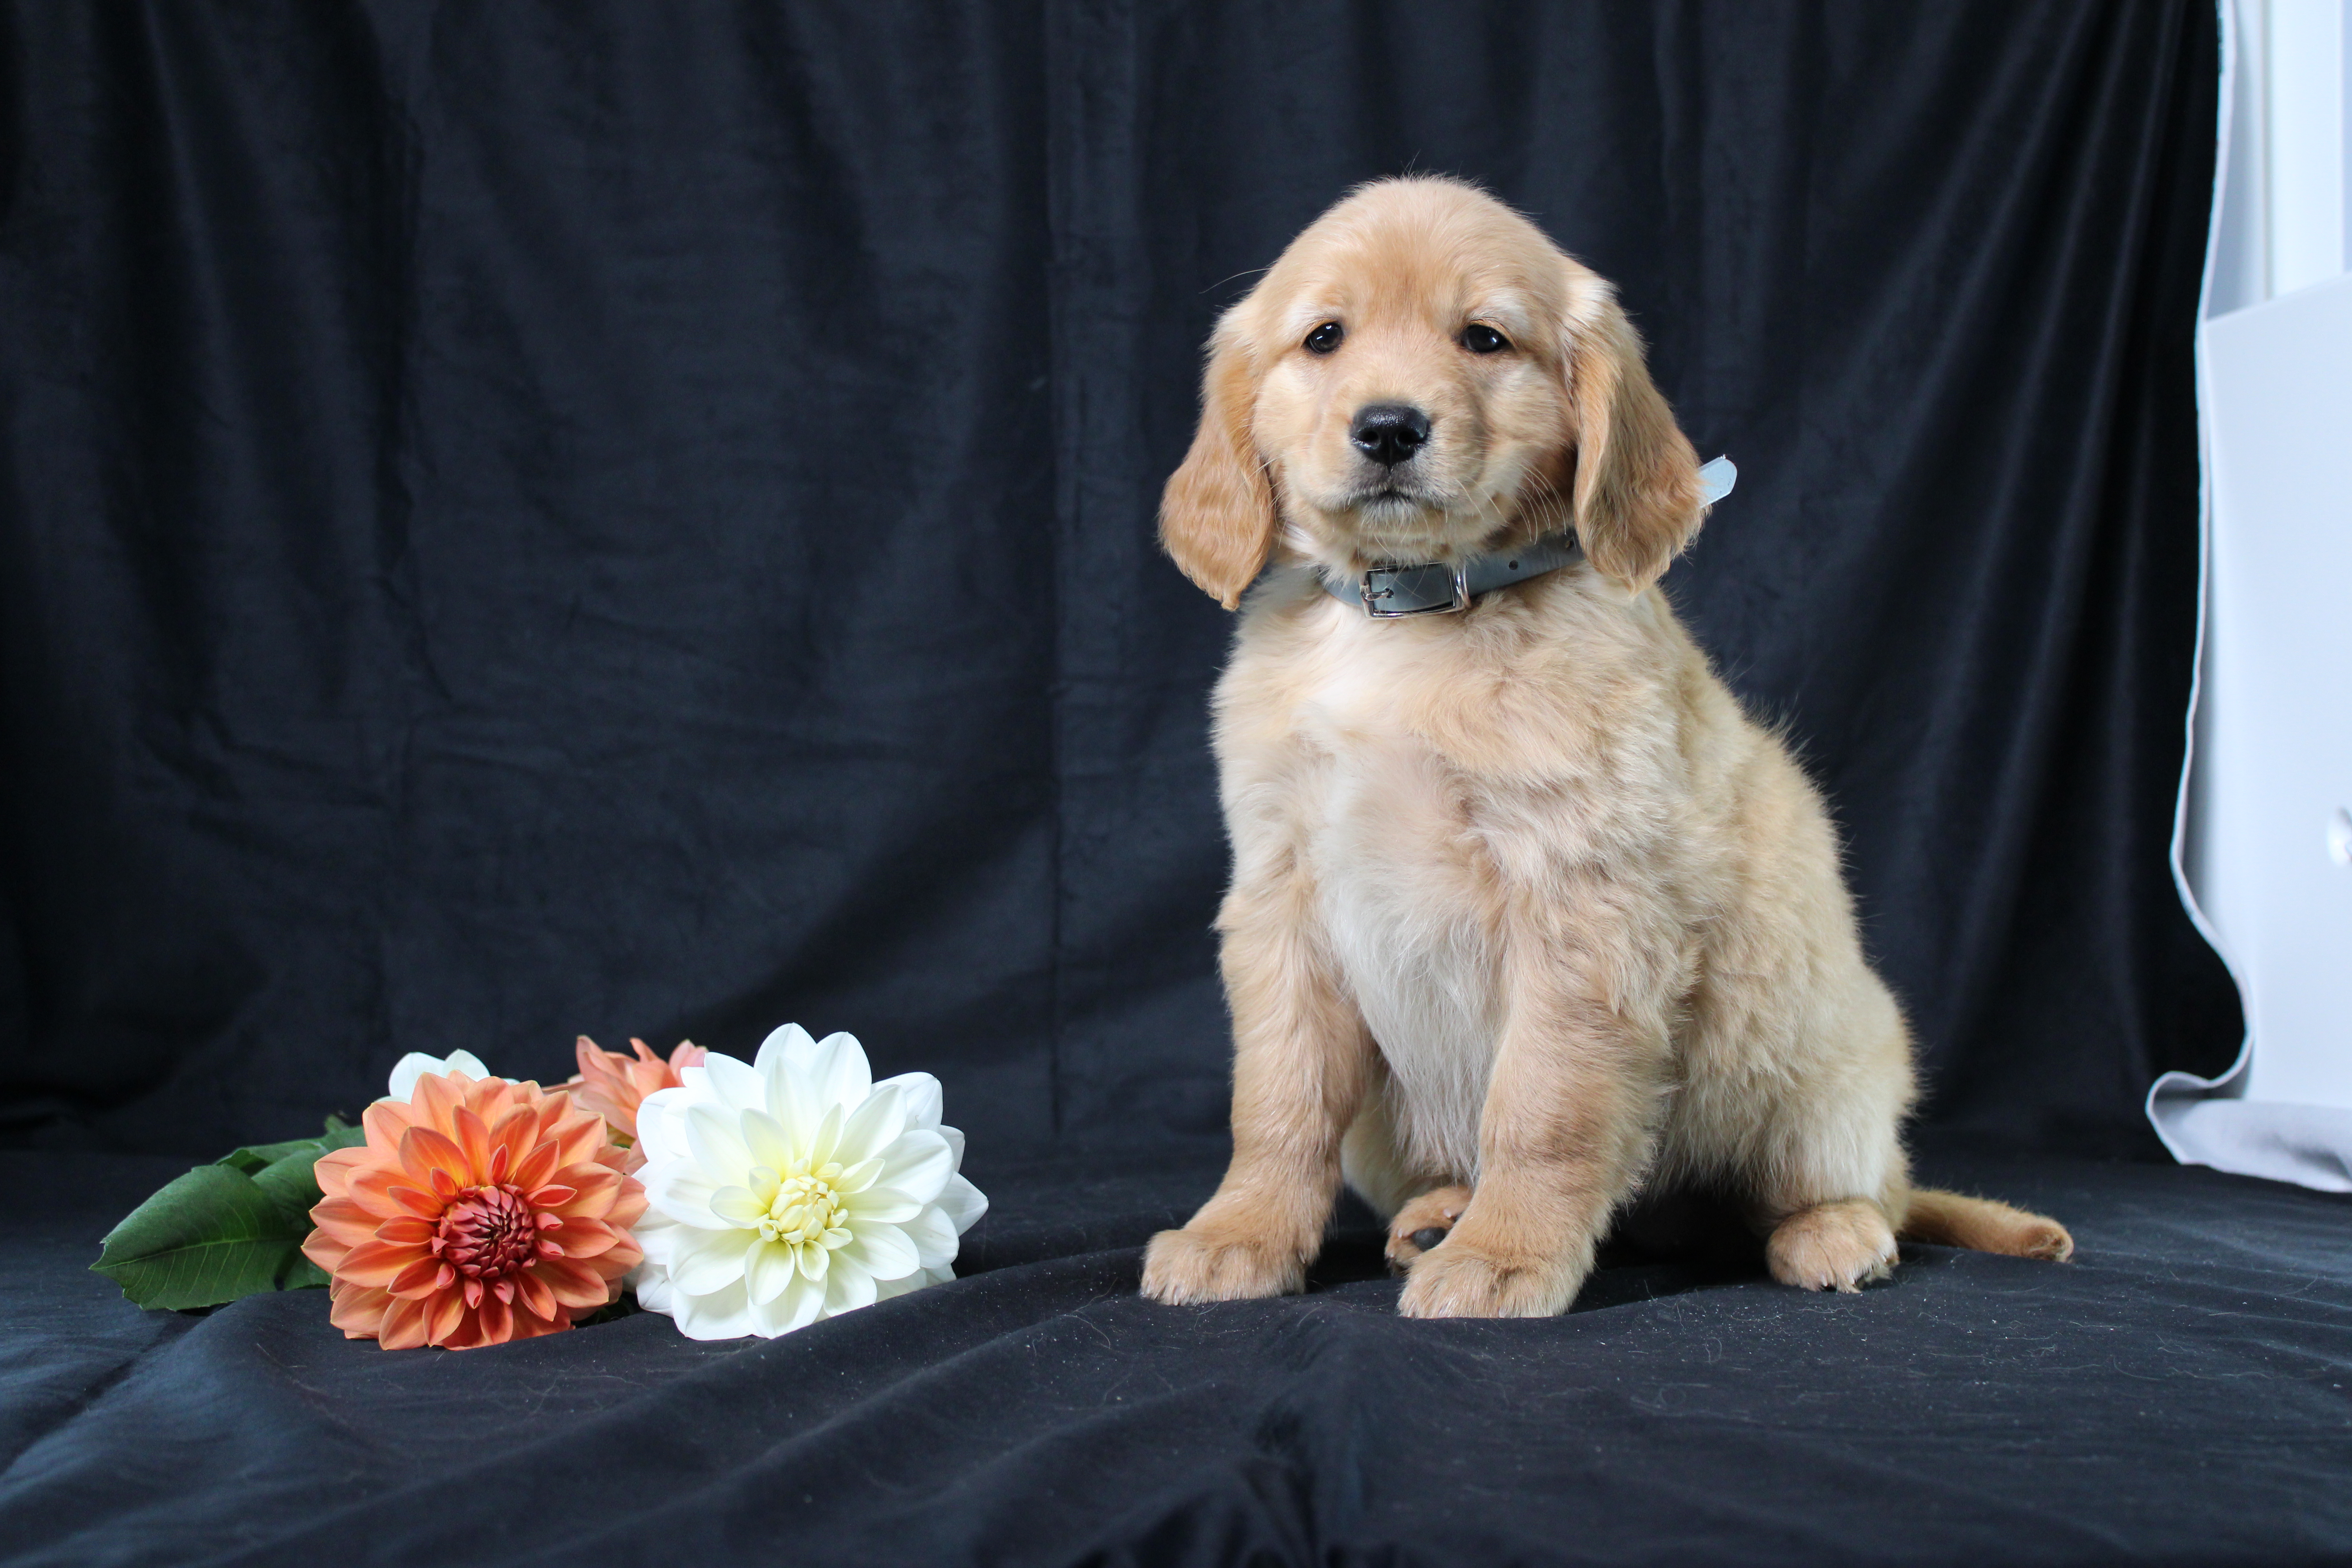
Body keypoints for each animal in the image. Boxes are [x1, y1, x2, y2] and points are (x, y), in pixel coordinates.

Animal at [1138, 177, 2079, 1316]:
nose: (1389, 428)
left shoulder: (1581, 900)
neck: (1413, 620)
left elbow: (1543, 1108)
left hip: (1816, 1053)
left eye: (1485, 337)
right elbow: (1277, 1101)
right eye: (1325, 337)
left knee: (1860, 1185)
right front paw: (1240, 1233)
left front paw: (1506, 1256)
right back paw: (1439, 1210)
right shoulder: (1283, 895)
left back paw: (1834, 1234)